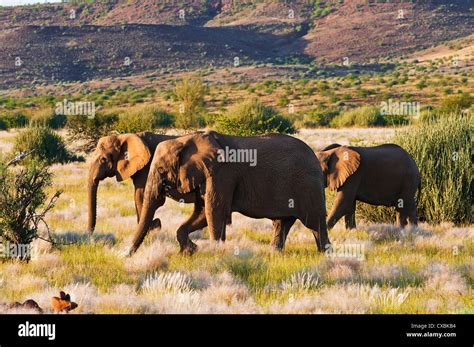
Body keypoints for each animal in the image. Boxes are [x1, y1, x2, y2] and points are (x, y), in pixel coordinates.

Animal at [128, 130, 332, 256]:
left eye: (161, 169)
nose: (126, 256)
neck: (188, 139)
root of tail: (316, 156)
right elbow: (202, 213)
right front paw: (191, 251)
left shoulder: (222, 173)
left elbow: (214, 210)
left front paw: (215, 254)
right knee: (283, 222)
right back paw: (274, 254)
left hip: (308, 185)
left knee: (315, 222)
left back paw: (326, 255)